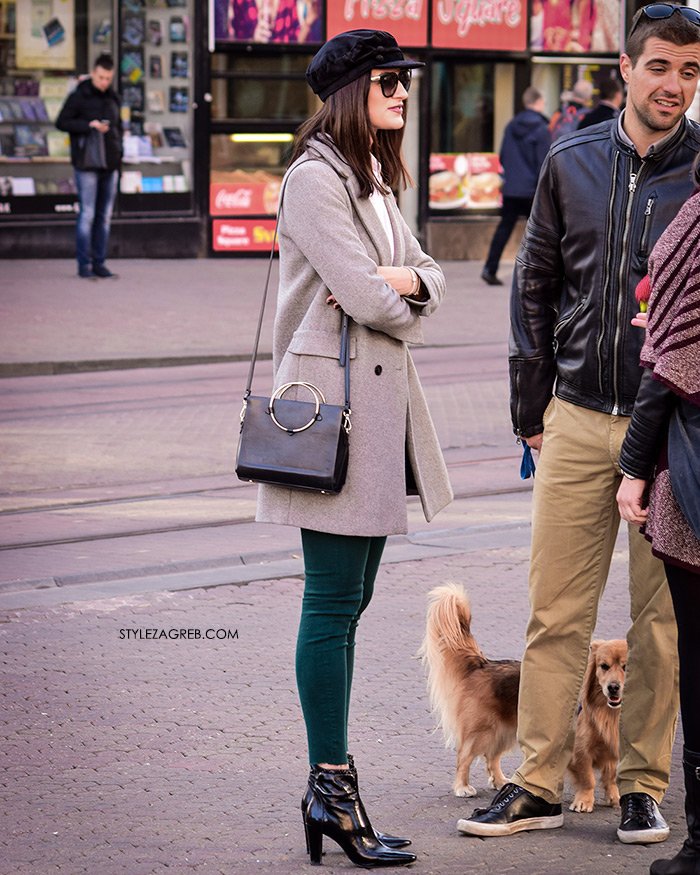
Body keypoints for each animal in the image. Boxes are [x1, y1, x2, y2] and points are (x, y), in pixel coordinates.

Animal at [424, 580, 628, 816]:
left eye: (626, 667)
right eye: (604, 666)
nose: (613, 688)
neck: (606, 711)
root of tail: (484, 664)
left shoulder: (613, 750)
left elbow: (610, 777)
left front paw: (614, 797)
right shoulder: (580, 751)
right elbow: (588, 778)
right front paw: (584, 802)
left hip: (505, 731)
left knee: (491, 757)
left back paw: (501, 781)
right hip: (482, 731)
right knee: (464, 757)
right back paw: (462, 787)